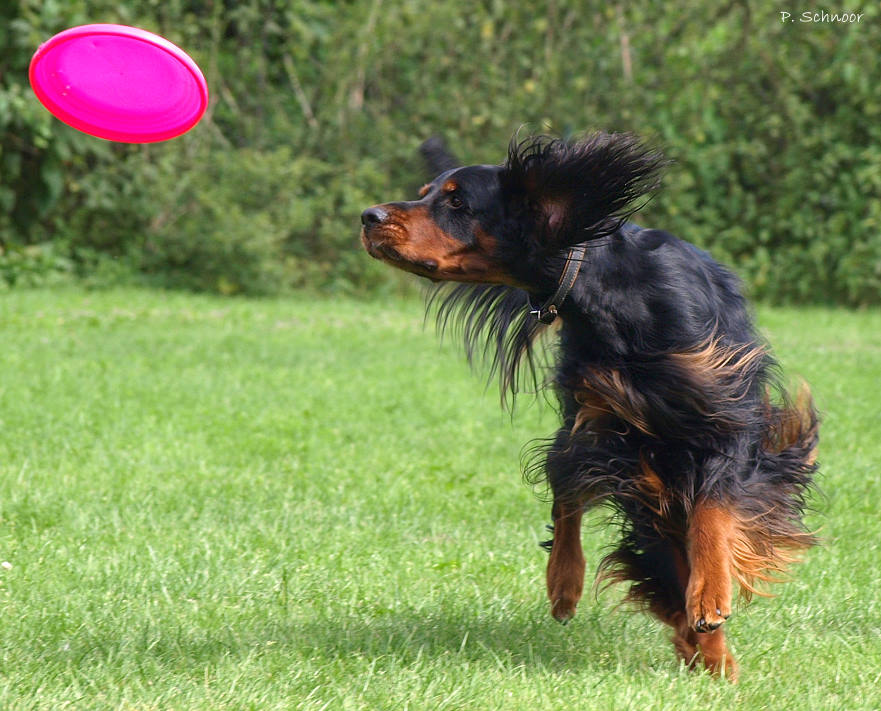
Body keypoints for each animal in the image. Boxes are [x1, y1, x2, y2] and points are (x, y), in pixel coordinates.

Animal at [360, 131, 820, 680]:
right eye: (426, 192)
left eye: (456, 202)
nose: (367, 216)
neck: (607, 291)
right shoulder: (605, 430)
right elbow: (574, 495)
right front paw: (576, 583)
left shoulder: (724, 412)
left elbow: (711, 510)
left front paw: (710, 593)